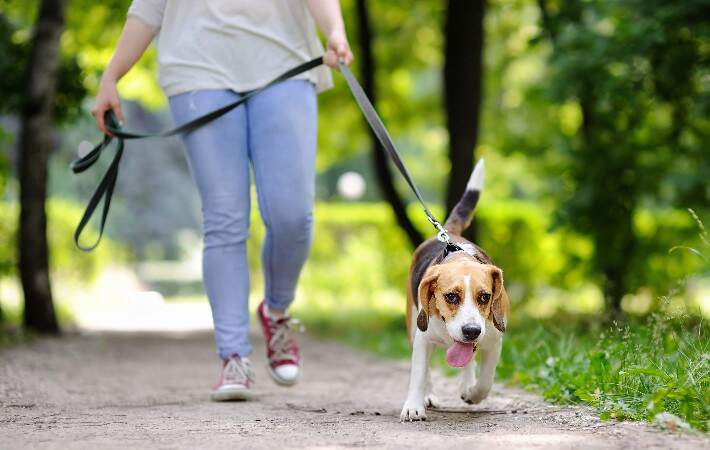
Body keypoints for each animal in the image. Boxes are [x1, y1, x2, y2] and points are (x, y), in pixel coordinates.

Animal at [400, 159, 512, 422]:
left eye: (485, 297)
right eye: (451, 296)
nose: (471, 330)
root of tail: (449, 234)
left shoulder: (494, 340)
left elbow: (486, 381)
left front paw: (473, 393)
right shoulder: (422, 338)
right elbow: (419, 373)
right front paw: (414, 406)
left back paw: (466, 385)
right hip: (414, 326)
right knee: (427, 369)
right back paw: (428, 396)